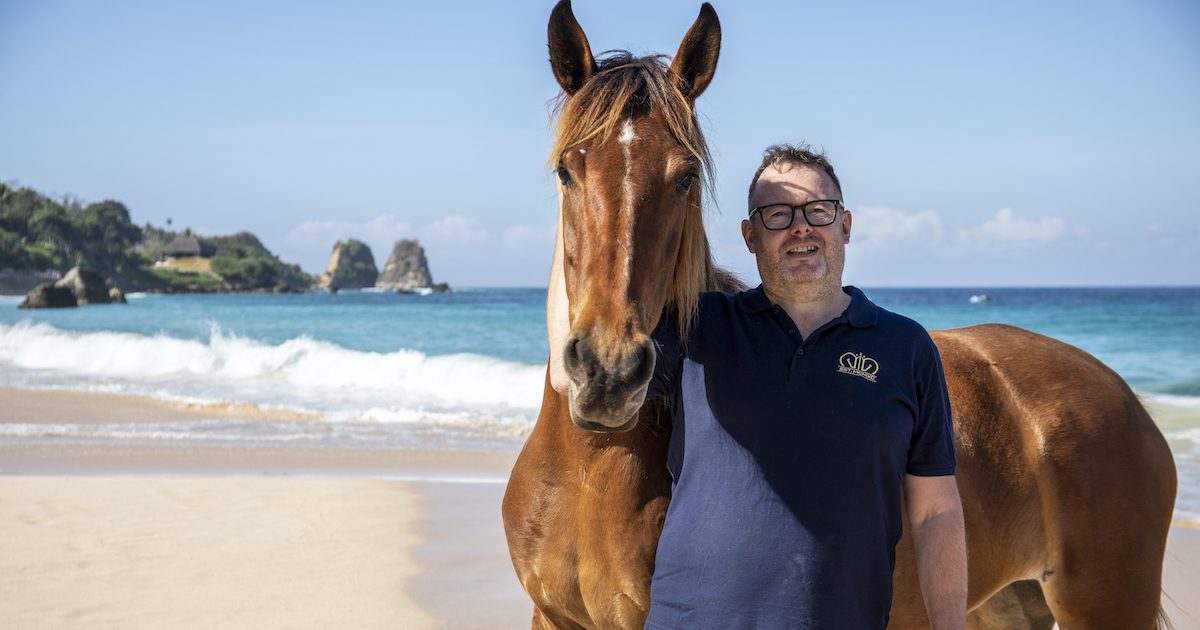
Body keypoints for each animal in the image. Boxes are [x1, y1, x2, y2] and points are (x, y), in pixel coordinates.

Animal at [501, 2, 1178, 628]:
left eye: (686, 177)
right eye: (567, 170)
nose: (609, 373)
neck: (589, 469)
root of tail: (1122, 395)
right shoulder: (552, 618)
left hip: (1103, 604)